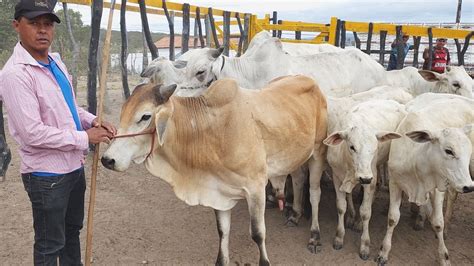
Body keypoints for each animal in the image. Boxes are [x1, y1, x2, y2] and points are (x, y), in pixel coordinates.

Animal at [101, 75, 328, 266]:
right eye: (122, 112)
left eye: (145, 116)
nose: (107, 159)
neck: (213, 131)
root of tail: (309, 80)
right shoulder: (219, 191)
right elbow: (223, 231)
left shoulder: (255, 188)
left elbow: (257, 233)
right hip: (295, 157)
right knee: (298, 178)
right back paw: (295, 215)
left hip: (317, 152)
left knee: (315, 193)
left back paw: (315, 236)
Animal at [324, 100, 406, 260]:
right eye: (352, 147)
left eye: (374, 148)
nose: (364, 178)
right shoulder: (337, 177)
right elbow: (341, 206)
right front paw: (339, 237)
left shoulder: (370, 178)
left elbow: (365, 212)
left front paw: (365, 246)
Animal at [378, 94, 474, 264]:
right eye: (449, 151)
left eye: (468, 151)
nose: (468, 187)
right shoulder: (395, 183)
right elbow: (392, 218)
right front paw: (384, 252)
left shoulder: (437, 188)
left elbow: (438, 223)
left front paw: (444, 257)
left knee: (451, 198)